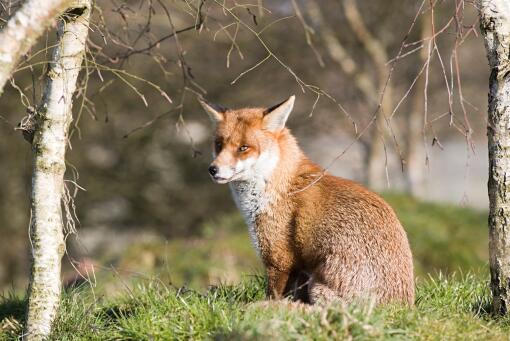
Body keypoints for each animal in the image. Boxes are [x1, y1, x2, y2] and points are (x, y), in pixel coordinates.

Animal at [199, 95, 414, 302]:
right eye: (218, 145)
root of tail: (400, 306)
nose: (212, 169)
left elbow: (273, 298)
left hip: (316, 287)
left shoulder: (279, 260)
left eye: (243, 148)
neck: (279, 185)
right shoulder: (297, 269)